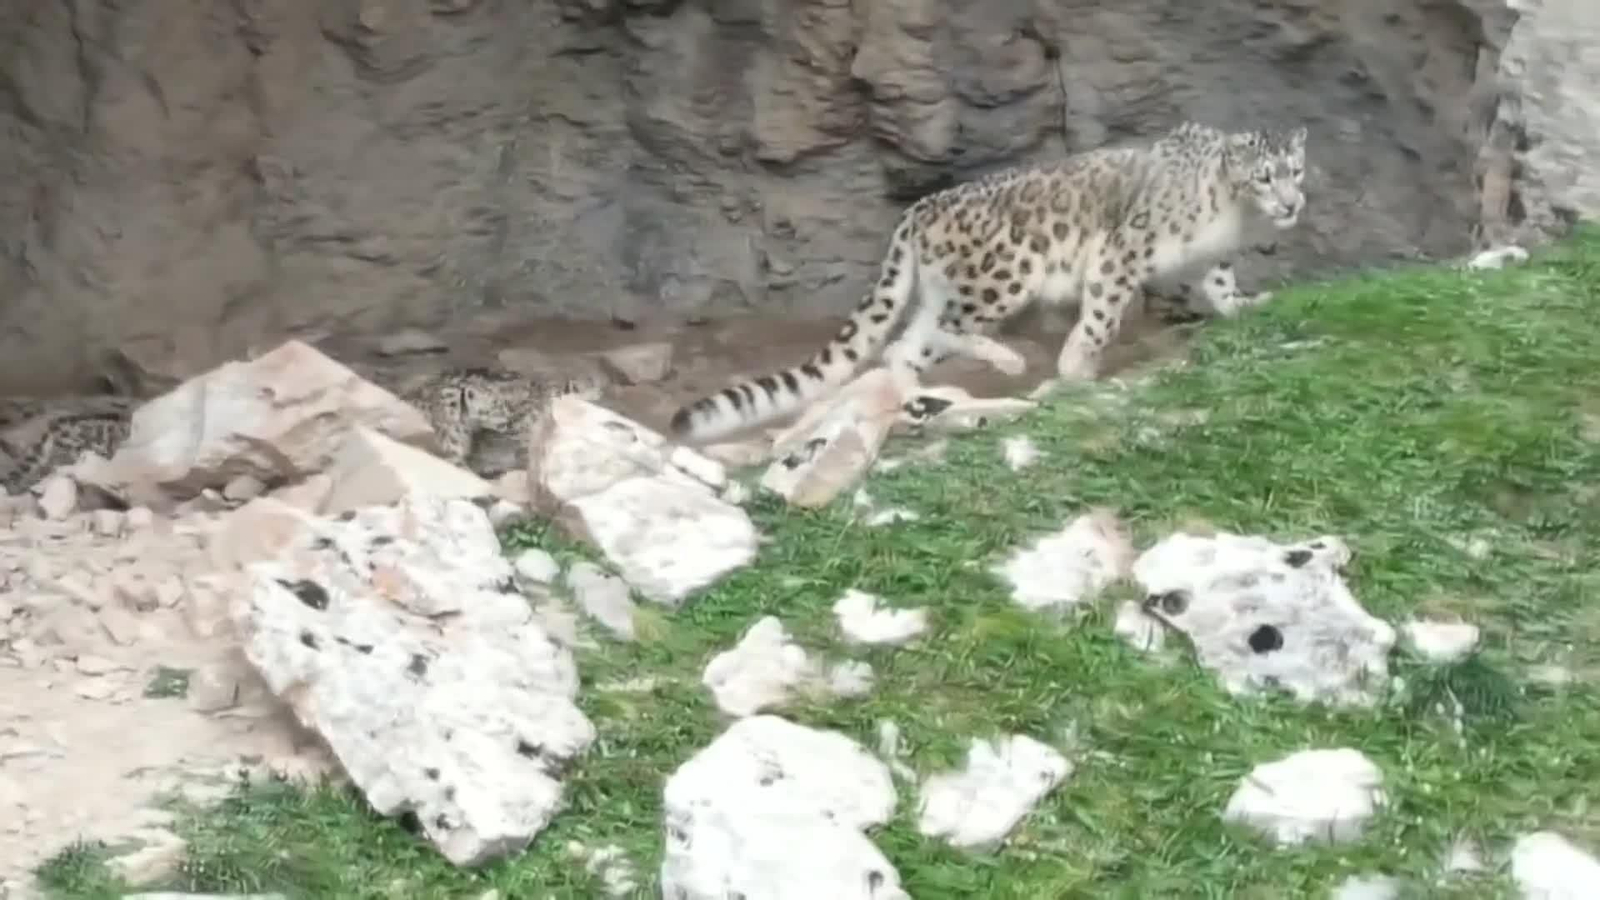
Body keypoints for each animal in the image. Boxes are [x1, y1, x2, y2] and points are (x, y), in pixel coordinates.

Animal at [668, 120, 1308, 444]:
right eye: (1264, 176)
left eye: (1296, 171)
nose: (1292, 204)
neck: (1234, 215)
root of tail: (919, 209)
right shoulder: (1121, 252)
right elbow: (1101, 317)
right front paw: (1076, 368)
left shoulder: (1212, 259)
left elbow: (1221, 286)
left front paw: (1246, 304)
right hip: (1004, 274)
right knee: (950, 327)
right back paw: (1007, 360)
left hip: (942, 292)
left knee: (906, 345)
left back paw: (917, 400)